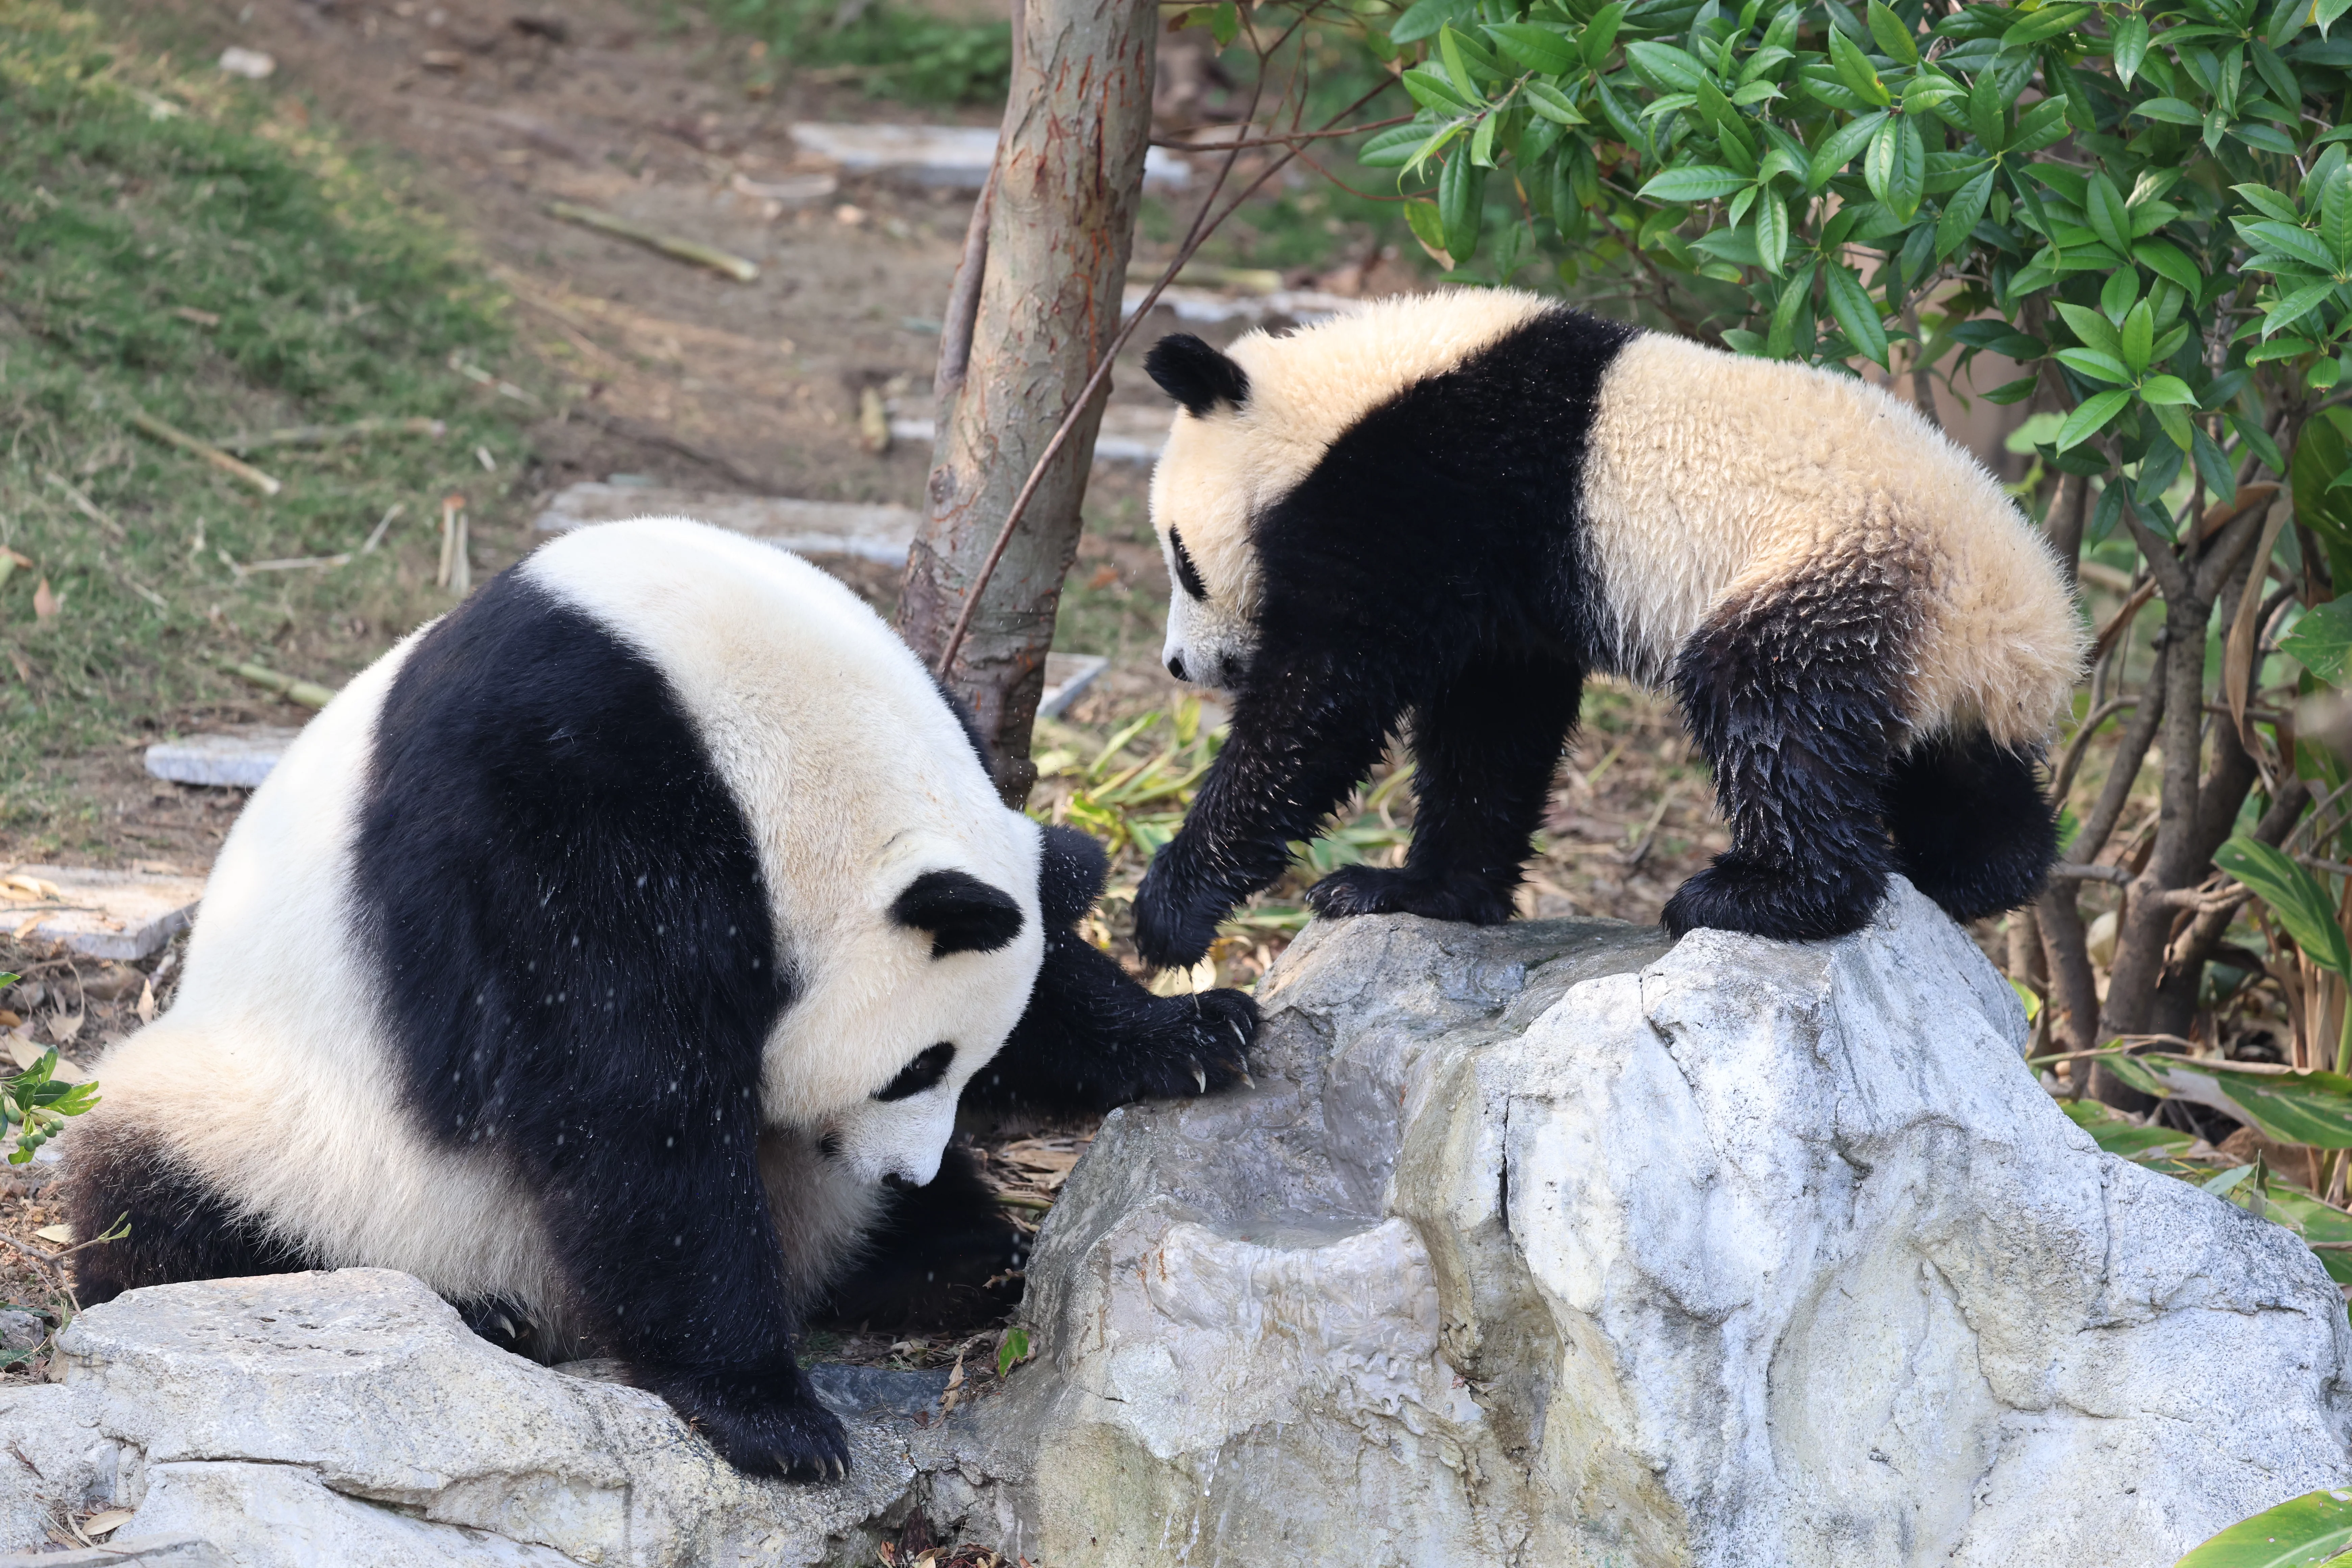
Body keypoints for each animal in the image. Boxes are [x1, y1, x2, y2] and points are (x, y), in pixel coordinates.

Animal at [65, 518, 1257, 1480]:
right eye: (913, 1067)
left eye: (968, 1066)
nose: (901, 1169)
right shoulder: (555, 799)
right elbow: (628, 1095)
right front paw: (771, 1417)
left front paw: (1196, 1031)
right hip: (294, 1126)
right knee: (166, 1217)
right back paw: (486, 1313)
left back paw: (952, 1256)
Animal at [1129, 289, 2085, 967]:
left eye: (1181, 556)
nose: (1179, 665)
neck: (1330, 406)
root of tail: (2032, 632)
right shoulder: (1502, 574)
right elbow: (1493, 721)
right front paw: (1418, 890)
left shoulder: (1425, 489)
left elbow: (1323, 700)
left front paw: (1170, 910)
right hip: (1925, 649)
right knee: (1950, 765)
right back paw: (1972, 871)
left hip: (1837, 568)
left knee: (1770, 704)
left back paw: (1758, 897)